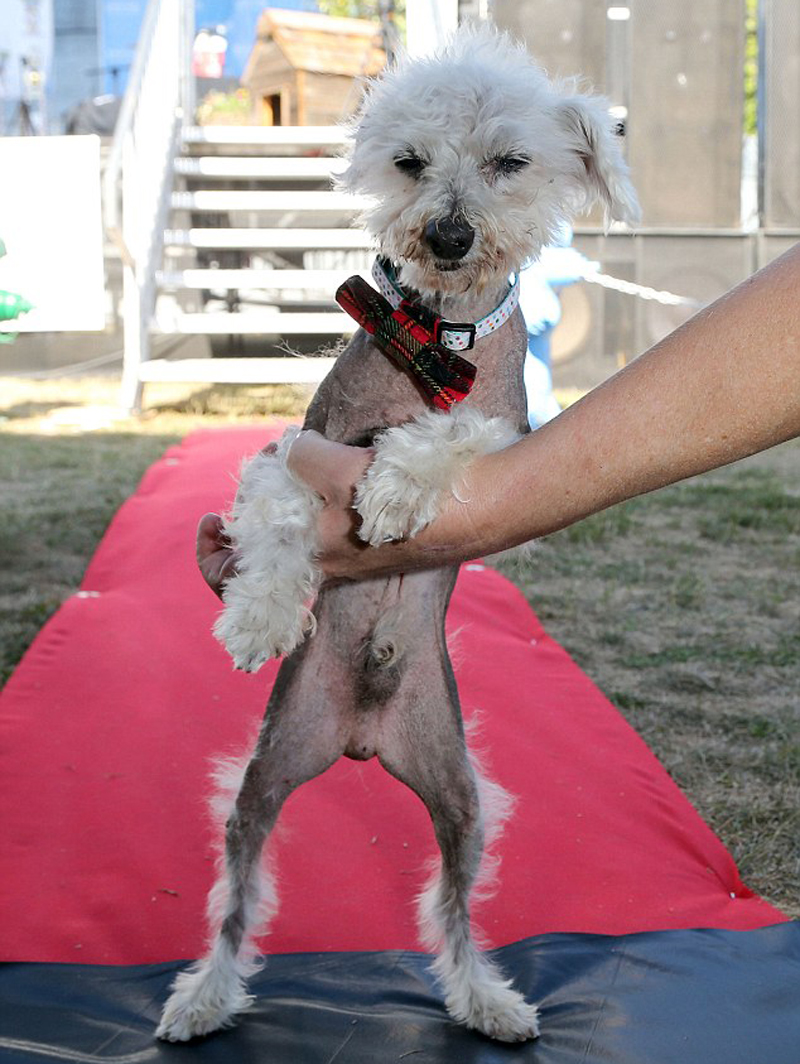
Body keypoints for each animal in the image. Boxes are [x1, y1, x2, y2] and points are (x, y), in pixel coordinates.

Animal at [157, 25, 638, 1046]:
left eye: (509, 162)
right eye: (410, 161)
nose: (448, 235)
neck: (433, 344)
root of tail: (361, 738)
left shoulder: (510, 444)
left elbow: (453, 439)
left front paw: (391, 494)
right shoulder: (292, 449)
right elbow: (280, 517)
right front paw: (258, 616)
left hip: (460, 795)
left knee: (453, 908)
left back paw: (487, 1000)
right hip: (264, 776)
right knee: (236, 900)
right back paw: (205, 996)